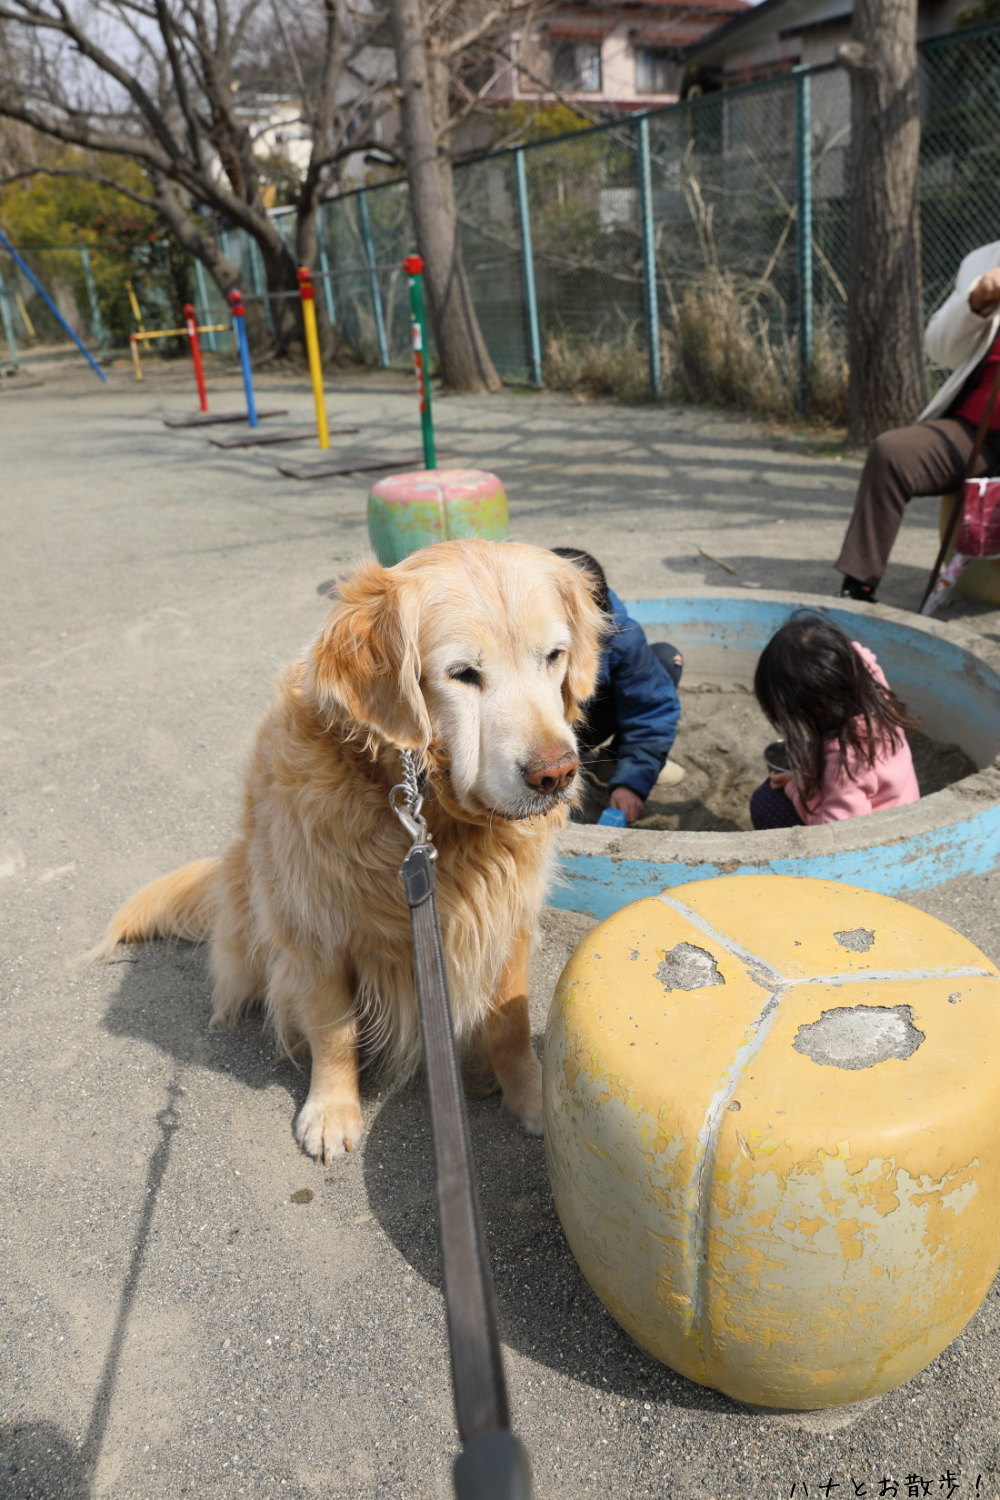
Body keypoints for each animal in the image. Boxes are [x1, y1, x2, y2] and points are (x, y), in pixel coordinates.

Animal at [93, 540, 605, 1158]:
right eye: (463, 674)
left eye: (553, 656)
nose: (556, 774)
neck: (424, 810)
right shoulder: (313, 927)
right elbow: (333, 1029)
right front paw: (333, 1111)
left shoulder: (508, 917)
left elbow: (510, 1023)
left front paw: (530, 1096)